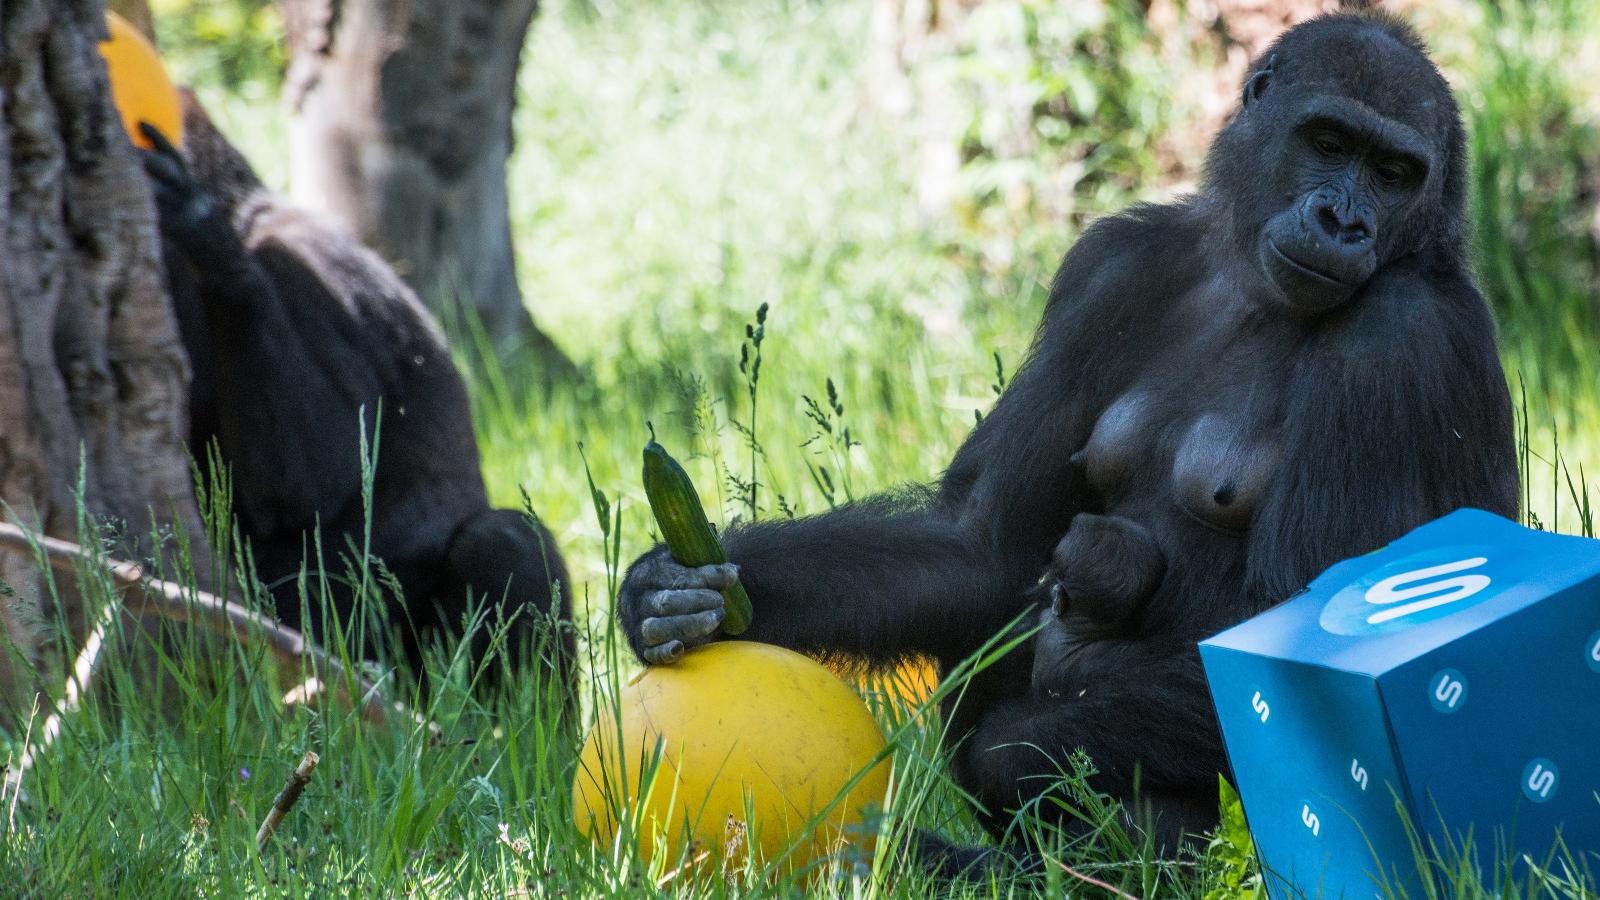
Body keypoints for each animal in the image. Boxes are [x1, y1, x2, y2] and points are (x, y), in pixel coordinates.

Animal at [611, 12, 1510, 845]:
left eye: (1393, 174)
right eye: (1327, 142)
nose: (1344, 223)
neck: (1250, 282)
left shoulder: (1402, 333)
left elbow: (1300, 634)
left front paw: (1009, 750)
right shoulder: (1110, 268)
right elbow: (985, 543)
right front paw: (682, 585)